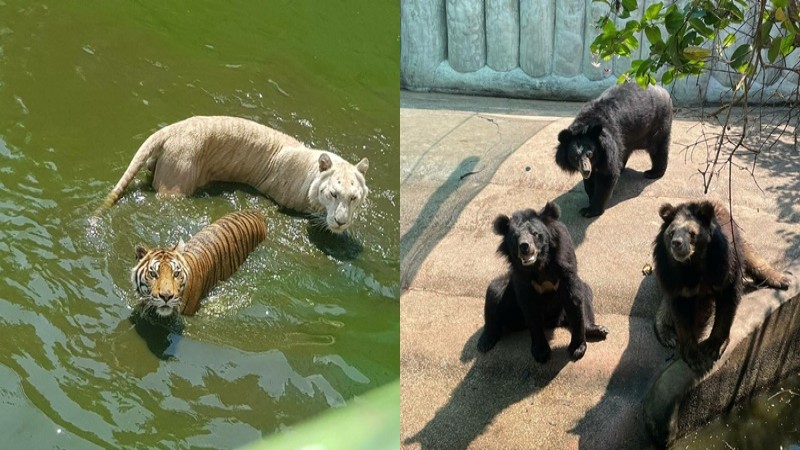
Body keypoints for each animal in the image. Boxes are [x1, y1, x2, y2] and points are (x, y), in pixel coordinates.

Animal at [478, 202, 608, 364]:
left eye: (535, 233)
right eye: (515, 237)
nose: (524, 246)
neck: (539, 265)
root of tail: (555, 322)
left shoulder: (564, 260)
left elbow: (574, 298)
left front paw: (577, 349)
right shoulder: (522, 278)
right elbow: (530, 309)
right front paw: (541, 352)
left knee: (585, 293)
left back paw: (597, 330)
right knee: (494, 292)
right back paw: (485, 342)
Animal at [556, 84, 676, 220]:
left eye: (590, 154)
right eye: (575, 157)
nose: (586, 170)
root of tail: (663, 89)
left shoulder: (609, 143)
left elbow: (607, 175)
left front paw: (590, 210)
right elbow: (590, 181)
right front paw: (590, 195)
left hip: (658, 124)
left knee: (659, 149)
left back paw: (652, 173)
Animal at [652, 200, 792, 372]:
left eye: (692, 233)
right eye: (671, 233)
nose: (676, 244)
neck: (693, 265)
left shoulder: (724, 265)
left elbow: (727, 303)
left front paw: (713, 347)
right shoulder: (674, 279)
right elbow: (681, 315)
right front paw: (694, 357)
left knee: (752, 256)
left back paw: (781, 280)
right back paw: (667, 335)